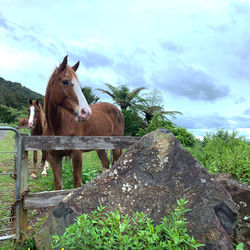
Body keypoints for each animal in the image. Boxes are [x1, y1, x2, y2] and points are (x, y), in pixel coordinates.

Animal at [44, 55, 125, 189]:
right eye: (65, 82)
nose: (85, 112)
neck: (56, 126)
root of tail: (117, 110)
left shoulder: (77, 155)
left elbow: (77, 183)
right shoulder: (54, 158)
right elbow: (58, 186)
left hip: (116, 146)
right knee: (105, 164)